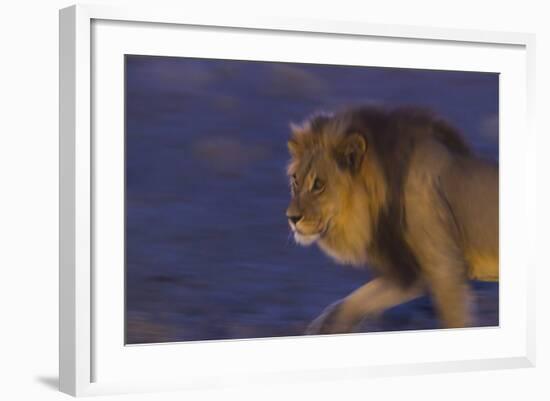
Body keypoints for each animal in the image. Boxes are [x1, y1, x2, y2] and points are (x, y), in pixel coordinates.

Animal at [288, 106, 500, 334]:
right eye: (295, 180)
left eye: (318, 184)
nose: (291, 218)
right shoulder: (409, 269)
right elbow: (351, 302)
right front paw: (324, 327)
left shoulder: (445, 268)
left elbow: (455, 320)